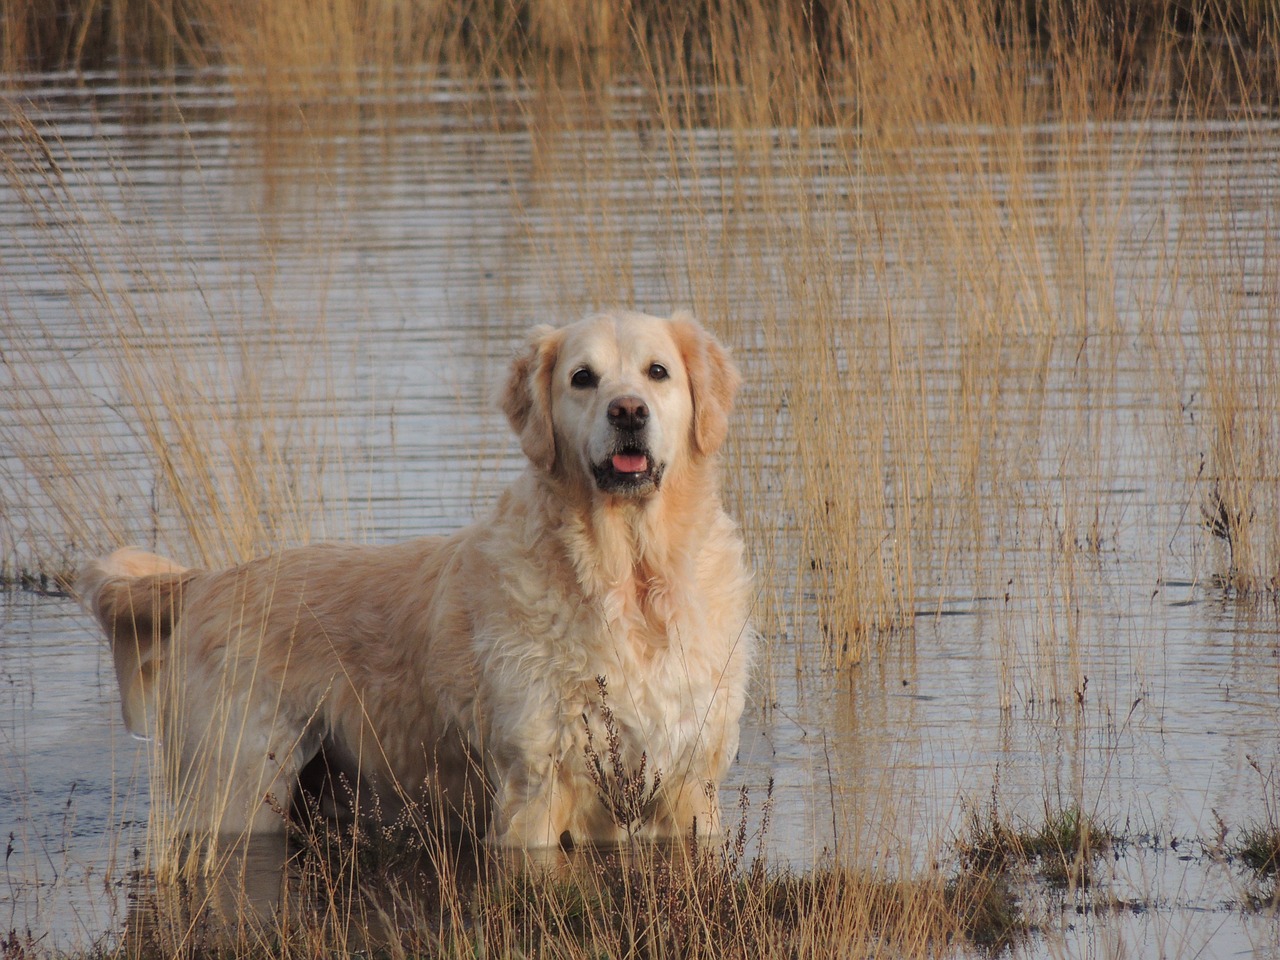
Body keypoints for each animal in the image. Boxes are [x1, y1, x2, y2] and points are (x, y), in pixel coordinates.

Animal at [77, 309, 747, 849]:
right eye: (583, 378)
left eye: (657, 372)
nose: (628, 411)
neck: (628, 578)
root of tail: (207, 581)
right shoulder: (533, 786)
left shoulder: (691, 785)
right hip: (238, 785)